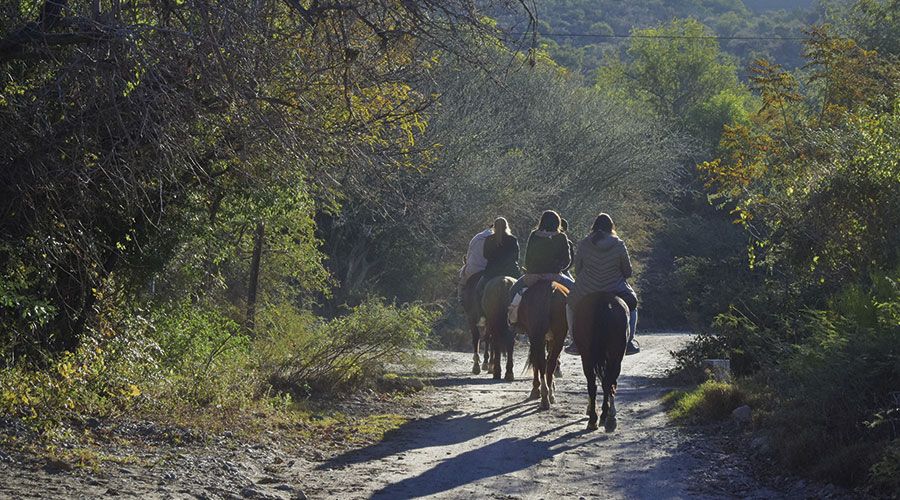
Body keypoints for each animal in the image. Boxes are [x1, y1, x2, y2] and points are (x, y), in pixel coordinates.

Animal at [516, 280, 568, 408]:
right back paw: (549, 395)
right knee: (550, 362)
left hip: (538, 336)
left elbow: (536, 361)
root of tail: (550, 288)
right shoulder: (548, 338)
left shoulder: (535, 336)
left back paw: (545, 397)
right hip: (559, 335)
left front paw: (536, 389)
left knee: (542, 362)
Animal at [576, 292, 624, 432]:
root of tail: (602, 300)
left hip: (587, 354)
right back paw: (605, 418)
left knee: (593, 384)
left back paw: (594, 419)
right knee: (607, 382)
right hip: (616, 354)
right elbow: (611, 382)